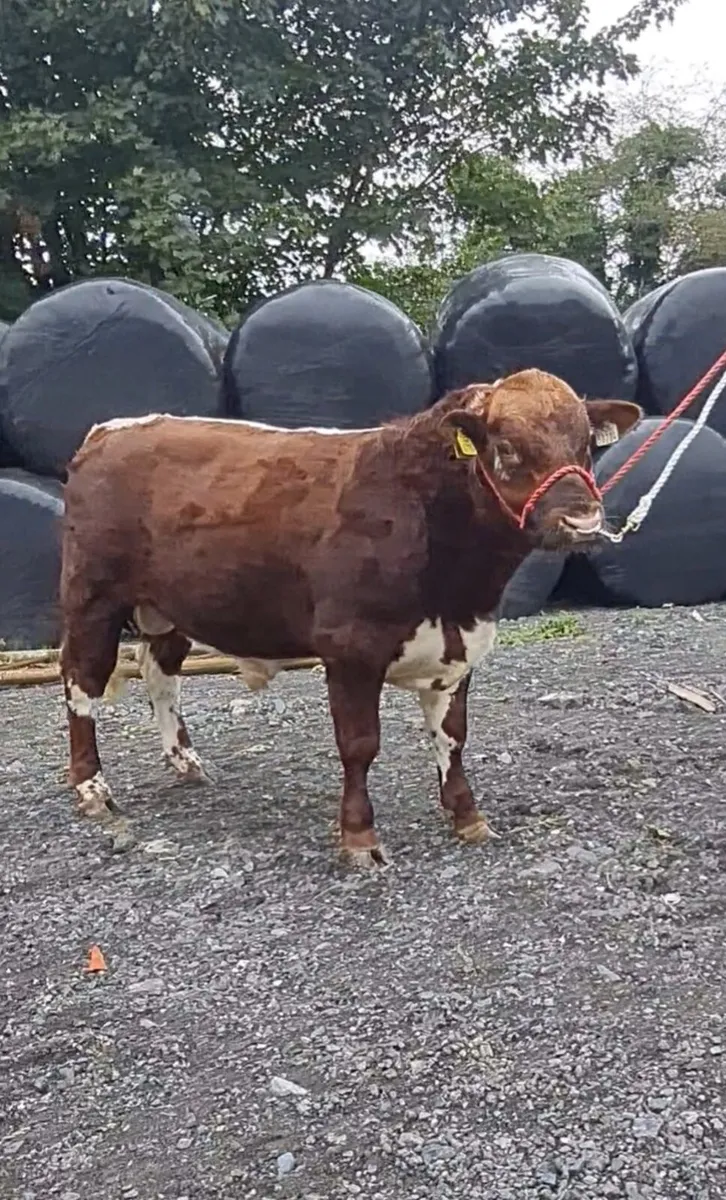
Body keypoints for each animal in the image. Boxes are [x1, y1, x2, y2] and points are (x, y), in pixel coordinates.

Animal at [59, 369, 641, 864]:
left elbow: (452, 737)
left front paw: (467, 816)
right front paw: (360, 837)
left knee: (160, 674)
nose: (583, 520)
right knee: (81, 681)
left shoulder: (459, 648)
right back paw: (92, 788)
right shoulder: (351, 648)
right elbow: (360, 745)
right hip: (91, 598)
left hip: (168, 608)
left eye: (585, 444)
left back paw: (185, 761)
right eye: (506, 447)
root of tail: (111, 430)